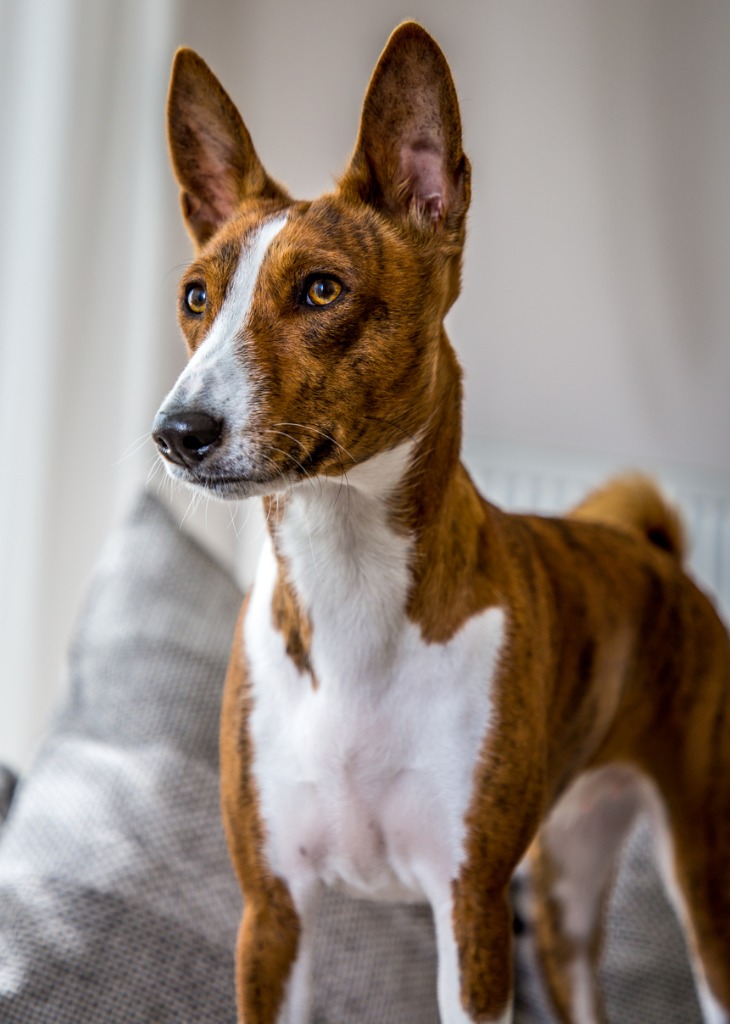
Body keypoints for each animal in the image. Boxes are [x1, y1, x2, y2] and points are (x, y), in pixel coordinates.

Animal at [150, 18, 724, 1024]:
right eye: (196, 297)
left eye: (322, 291)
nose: (177, 434)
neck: (347, 590)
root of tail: (654, 553)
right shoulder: (272, 912)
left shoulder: (471, 909)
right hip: (566, 889)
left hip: (697, 866)